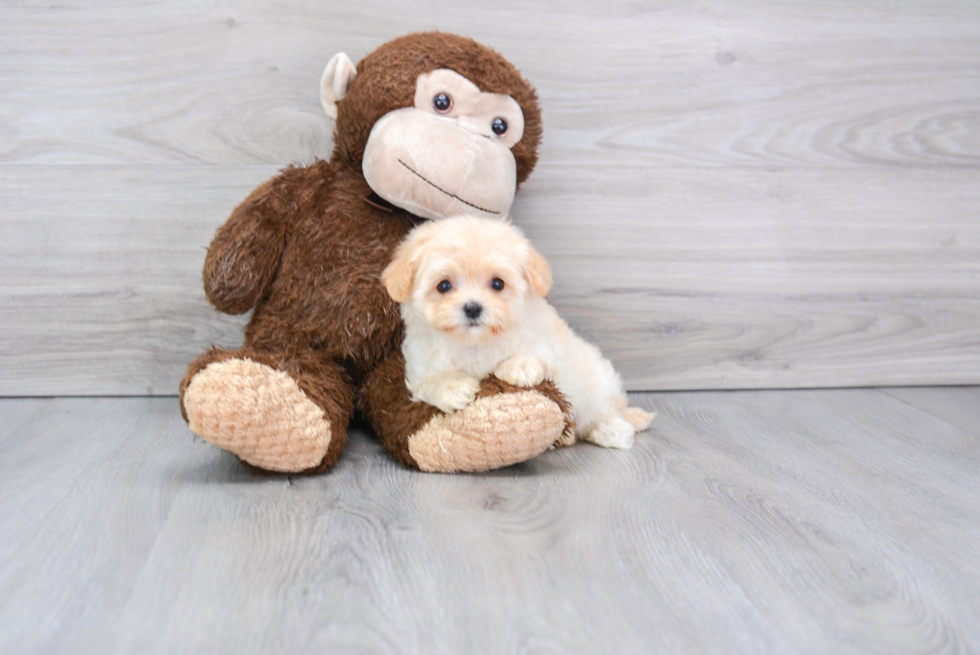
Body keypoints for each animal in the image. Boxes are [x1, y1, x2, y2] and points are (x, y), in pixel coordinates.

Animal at [380, 215, 652, 452]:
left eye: (497, 284)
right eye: (444, 286)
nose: (472, 308)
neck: (475, 342)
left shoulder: (549, 348)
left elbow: (537, 355)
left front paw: (519, 367)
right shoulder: (420, 365)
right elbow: (431, 380)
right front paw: (452, 388)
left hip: (597, 383)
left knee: (603, 412)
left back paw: (613, 431)